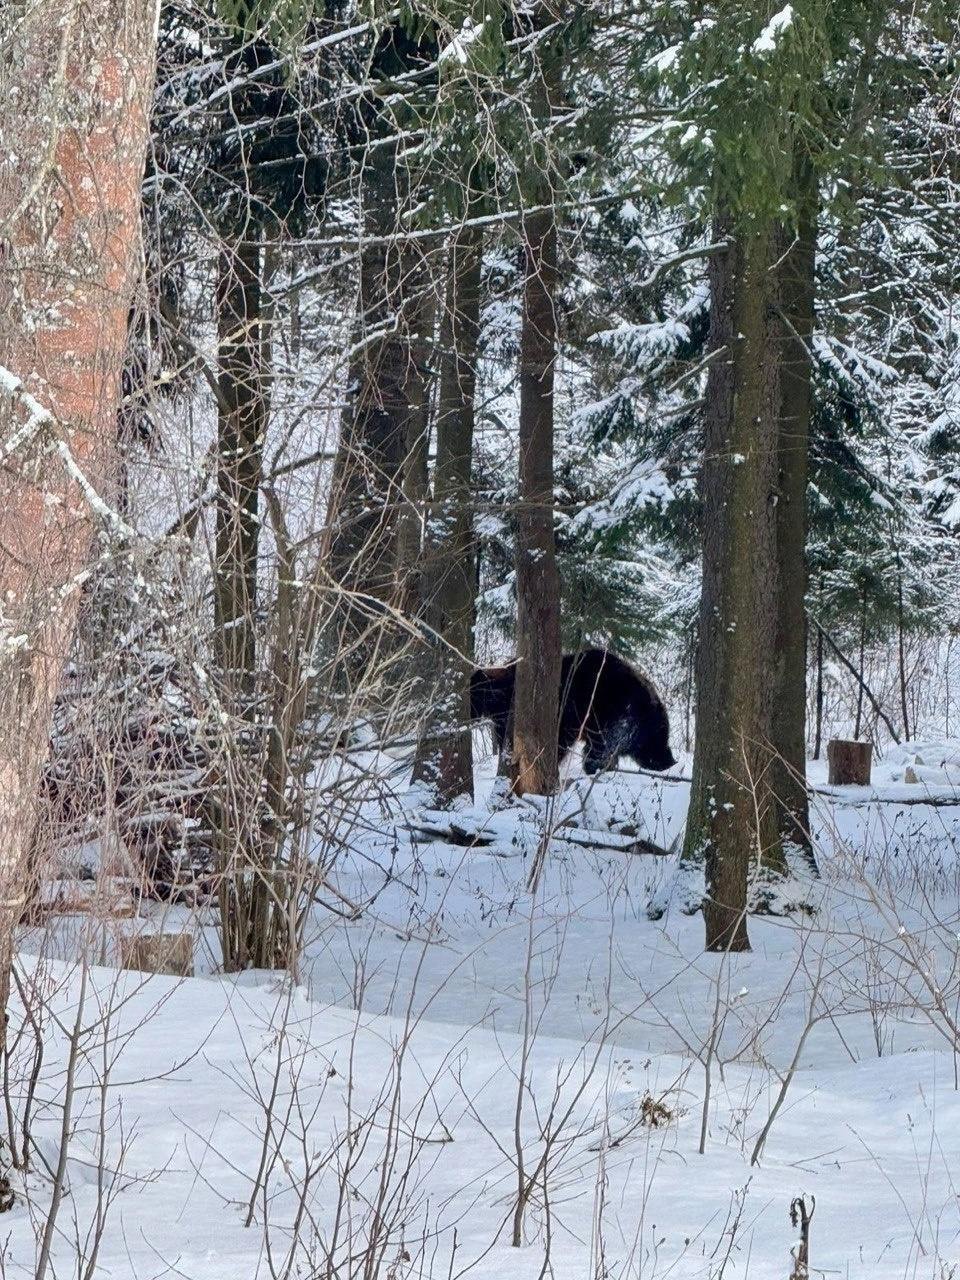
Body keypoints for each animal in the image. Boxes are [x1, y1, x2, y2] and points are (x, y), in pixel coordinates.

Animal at [471, 645, 680, 773]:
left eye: (472, 697)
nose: (471, 715)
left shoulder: (566, 711)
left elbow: (558, 740)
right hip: (644, 729)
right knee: (652, 751)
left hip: (614, 712)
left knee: (601, 748)